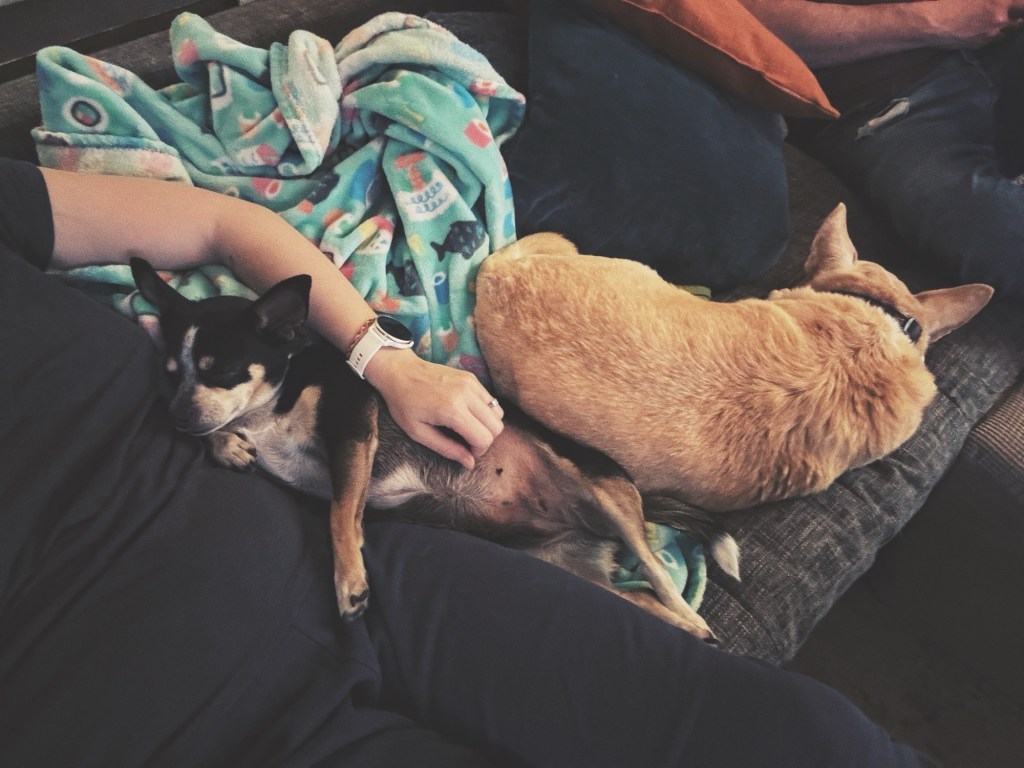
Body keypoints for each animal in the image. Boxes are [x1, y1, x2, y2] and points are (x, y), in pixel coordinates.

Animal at [130, 258, 738, 641]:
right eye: (171, 373)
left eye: (223, 370)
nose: (175, 417)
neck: (270, 408)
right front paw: (225, 446)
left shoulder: (354, 425)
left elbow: (338, 512)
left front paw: (349, 582)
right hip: (567, 571)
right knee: (639, 599)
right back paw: (686, 628)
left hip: (599, 492)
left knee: (660, 575)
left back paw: (694, 620)